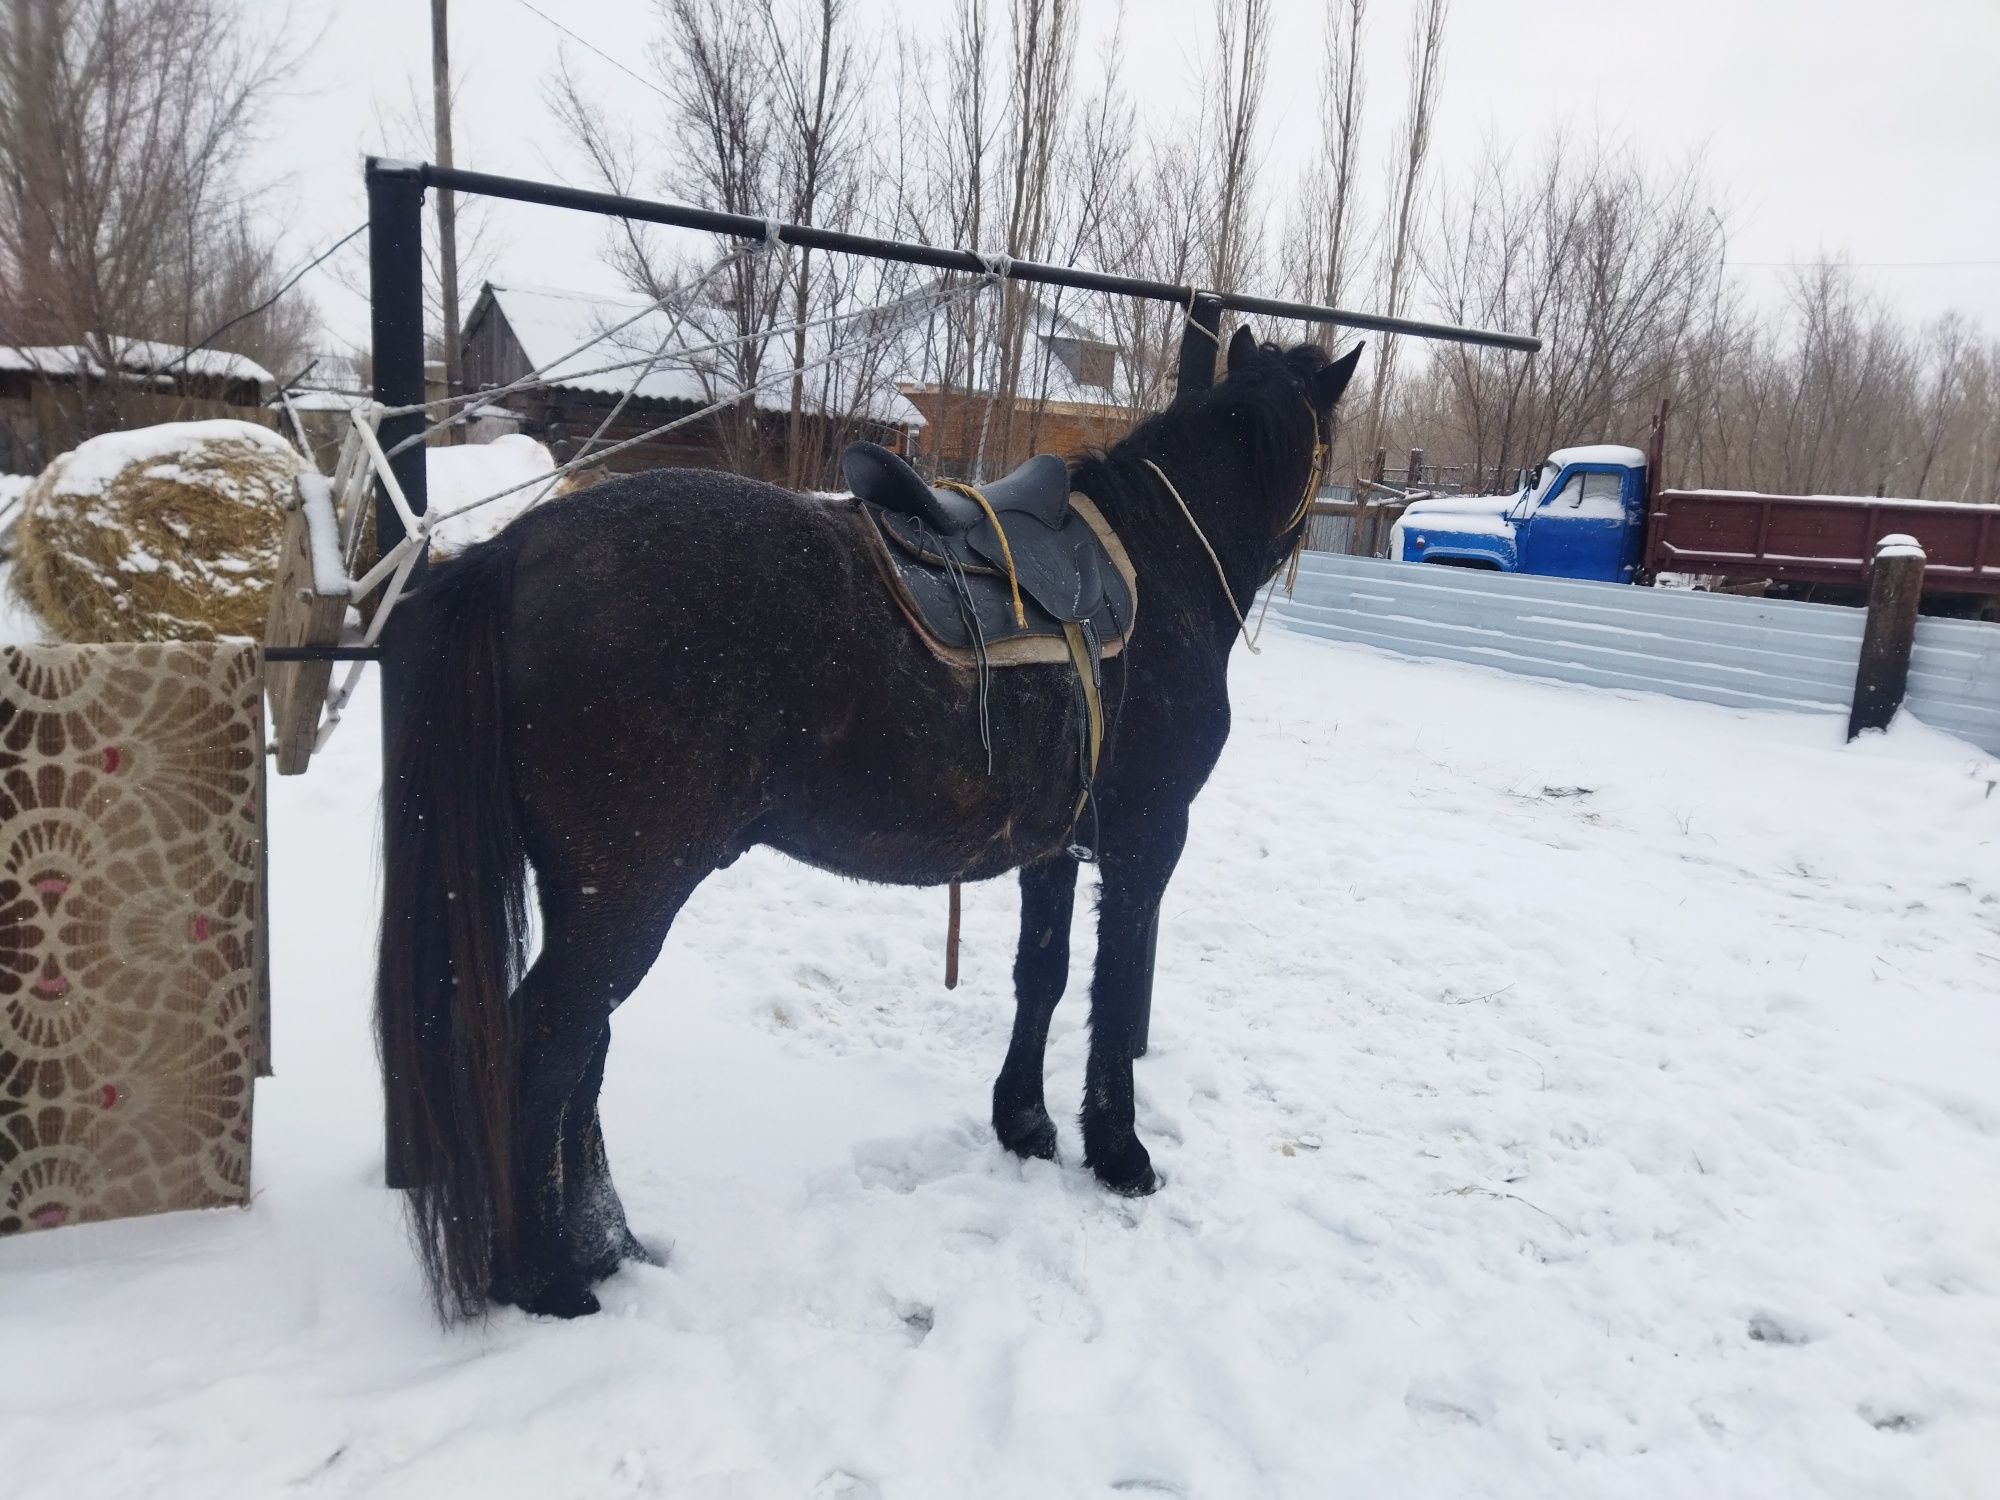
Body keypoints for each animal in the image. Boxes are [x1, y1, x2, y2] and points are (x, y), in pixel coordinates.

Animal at [378, 328, 1360, 1312]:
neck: (1157, 562)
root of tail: (515, 550)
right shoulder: (1146, 842)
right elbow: (1114, 996)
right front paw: (1120, 1154)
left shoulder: (1054, 850)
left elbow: (1040, 978)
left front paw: (1025, 1123)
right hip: (626, 894)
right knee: (546, 1047)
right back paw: (546, 1279)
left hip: (595, 897)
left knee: (585, 1049)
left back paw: (604, 1247)